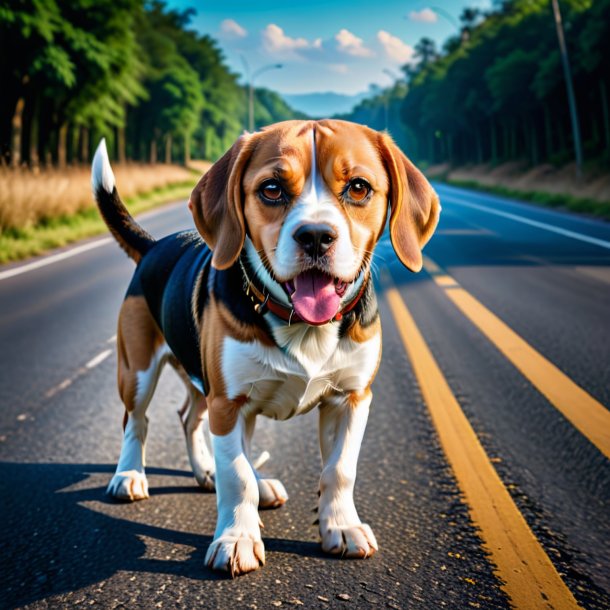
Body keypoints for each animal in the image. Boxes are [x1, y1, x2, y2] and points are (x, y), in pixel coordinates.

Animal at [91, 119, 436, 576]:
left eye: (359, 187)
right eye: (272, 189)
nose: (315, 236)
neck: (303, 325)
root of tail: (154, 245)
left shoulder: (351, 397)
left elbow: (339, 470)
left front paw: (341, 527)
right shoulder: (229, 402)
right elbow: (236, 475)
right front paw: (236, 539)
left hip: (205, 383)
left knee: (189, 419)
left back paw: (210, 473)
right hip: (140, 371)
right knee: (137, 421)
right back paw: (129, 476)